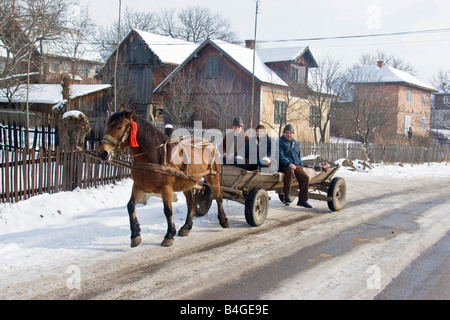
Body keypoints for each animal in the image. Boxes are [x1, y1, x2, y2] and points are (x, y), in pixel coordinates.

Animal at [98, 106, 229, 249]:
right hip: (187, 182)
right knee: (191, 202)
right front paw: (135, 235)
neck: (154, 158)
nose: (103, 152)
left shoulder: (166, 188)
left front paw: (169, 235)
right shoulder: (139, 186)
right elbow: (131, 206)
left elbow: (168, 211)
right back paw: (186, 227)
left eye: (119, 127)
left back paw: (223, 220)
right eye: (107, 124)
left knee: (218, 197)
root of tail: (209, 144)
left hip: (212, 176)